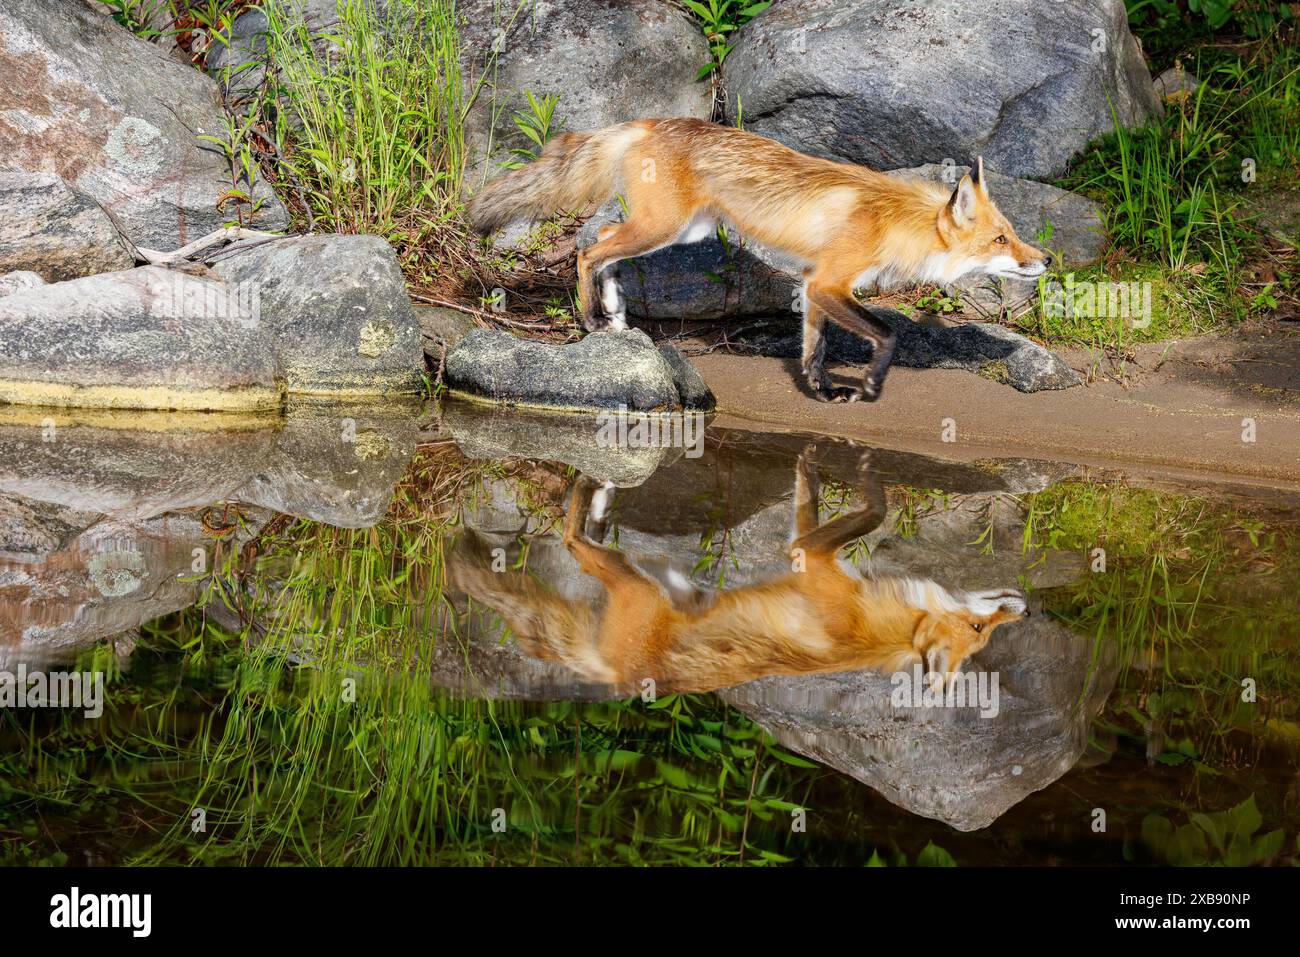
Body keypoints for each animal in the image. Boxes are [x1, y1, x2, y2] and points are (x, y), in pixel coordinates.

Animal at [450, 448, 1029, 694]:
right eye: (980, 628)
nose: (1023, 609)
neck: (886, 624)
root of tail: (620, 680)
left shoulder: (809, 559)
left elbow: (875, 508)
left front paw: (863, 471)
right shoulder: (808, 553)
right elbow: (815, 499)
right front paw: (813, 461)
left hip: (641, 588)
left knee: (573, 544)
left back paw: (588, 488)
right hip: (665, 585)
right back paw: (596, 498)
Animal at [468, 117, 1052, 403]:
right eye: (1001, 239)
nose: (1045, 258)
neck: (890, 220)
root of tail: (649, 120)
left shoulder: (816, 286)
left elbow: (814, 348)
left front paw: (822, 392)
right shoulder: (830, 282)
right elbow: (887, 335)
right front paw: (869, 386)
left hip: (678, 229)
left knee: (604, 238)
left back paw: (613, 314)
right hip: (662, 227)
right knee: (590, 247)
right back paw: (591, 317)